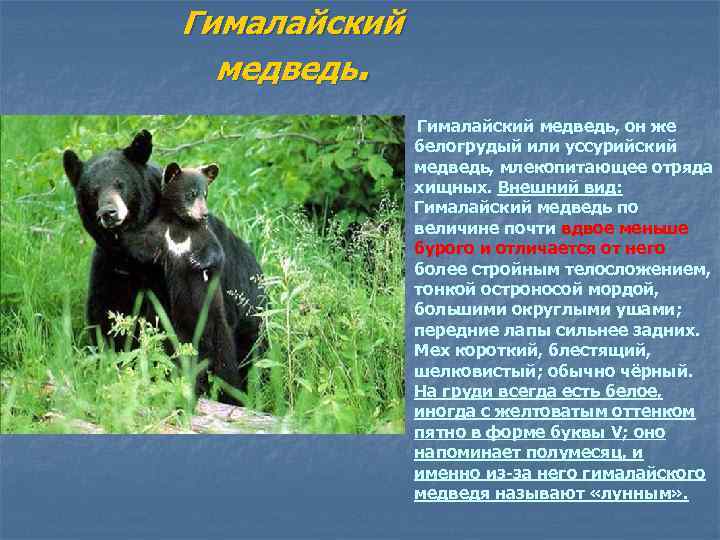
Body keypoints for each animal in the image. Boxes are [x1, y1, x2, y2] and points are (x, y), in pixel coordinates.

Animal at [119, 162, 242, 391]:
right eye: (191, 193)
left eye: (205, 193)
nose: (204, 214)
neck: (181, 226)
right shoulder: (158, 234)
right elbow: (138, 245)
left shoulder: (202, 235)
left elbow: (217, 252)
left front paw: (197, 260)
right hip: (176, 335)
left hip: (220, 332)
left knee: (227, 367)